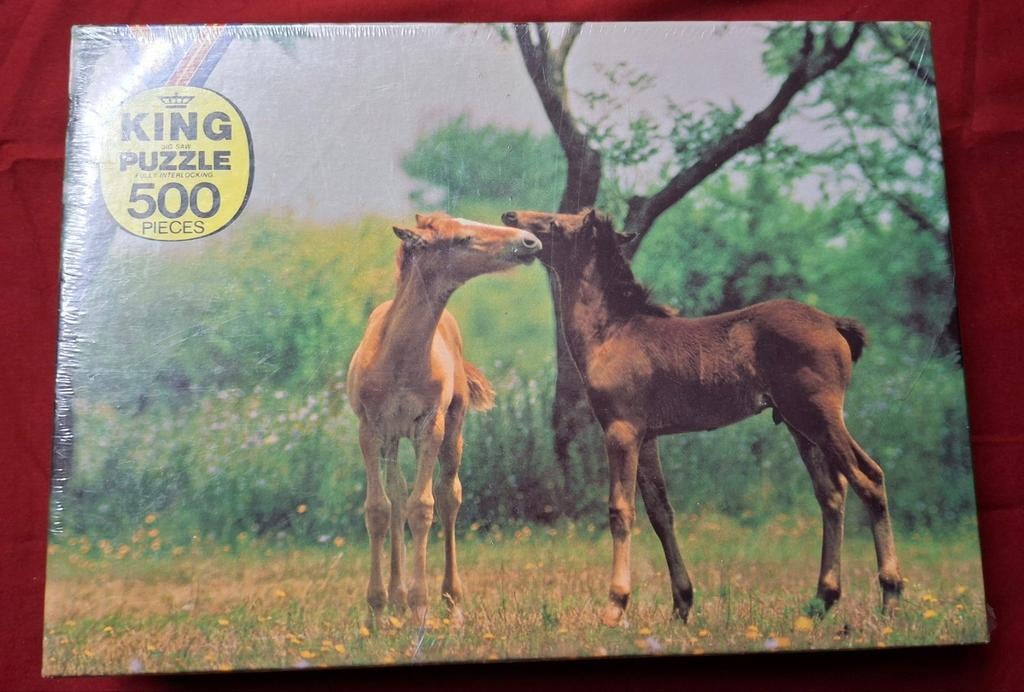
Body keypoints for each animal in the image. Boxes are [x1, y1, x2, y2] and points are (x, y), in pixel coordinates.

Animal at [347, 213, 542, 625]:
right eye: (463, 237)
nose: (530, 242)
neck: (398, 357)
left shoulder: (430, 425)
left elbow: (423, 506)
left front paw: (420, 609)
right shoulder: (370, 429)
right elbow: (378, 508)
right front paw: (376, 612)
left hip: (455, 426)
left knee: (449, 495)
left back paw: (452, 606)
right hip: (393, 438)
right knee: (397, 493)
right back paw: (396, 599)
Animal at [502, 208, 902, 626]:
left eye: (558, 223)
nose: (510, 216)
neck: (612, 333)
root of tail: (833, 323)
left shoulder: (621, 432)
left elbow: (620, 511)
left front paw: (615, 605)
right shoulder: (647, 438)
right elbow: (660, 512)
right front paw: (681, 604)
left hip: (819, 417)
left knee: (868, 479)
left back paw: (890, 597)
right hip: (802, 428)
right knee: (832, 494)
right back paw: (822, 599)